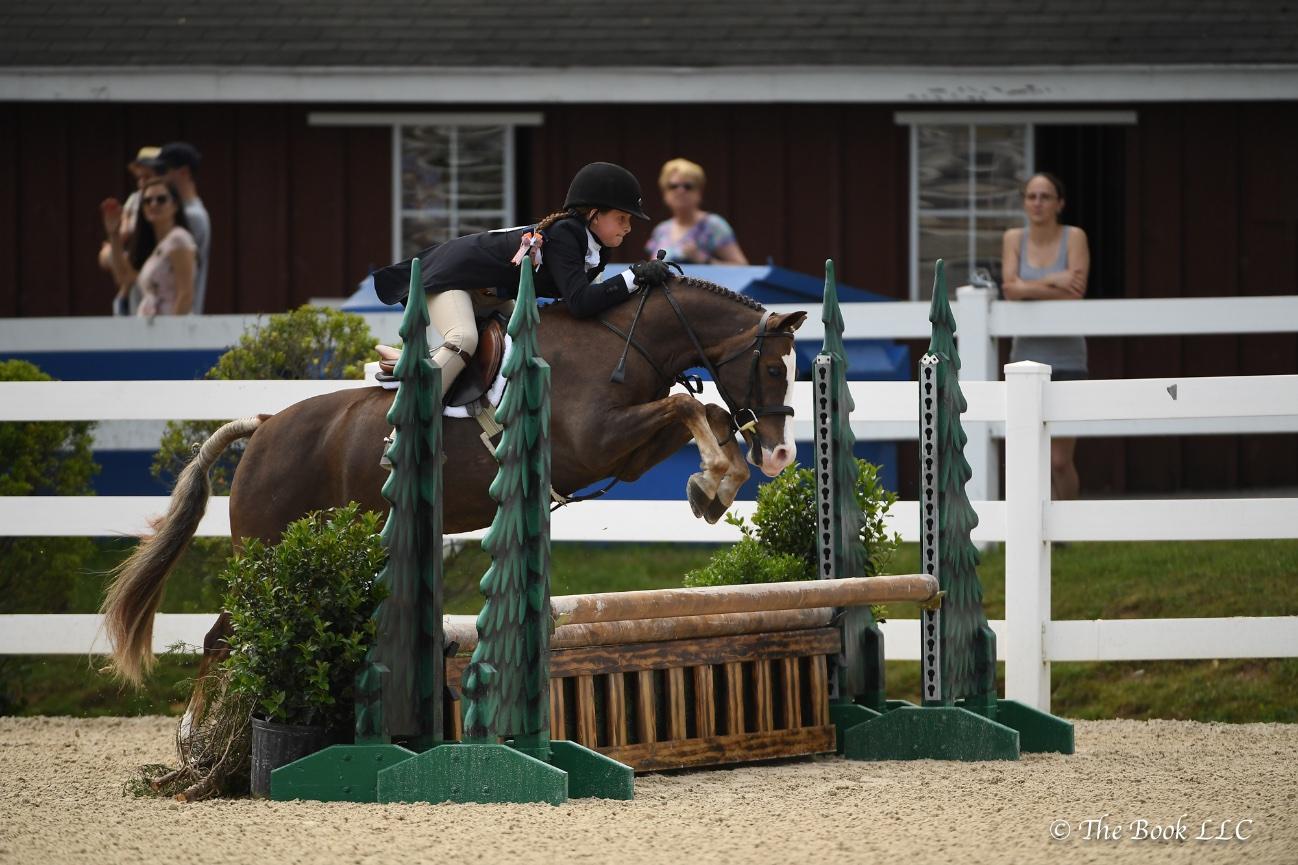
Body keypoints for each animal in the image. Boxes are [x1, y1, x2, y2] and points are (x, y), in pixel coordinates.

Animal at [101, 275, 807, 687]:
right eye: (774, 369)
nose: (780, 454)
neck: (619, 340)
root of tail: (266, 425)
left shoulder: (622, 454)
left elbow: (705, 413)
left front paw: (714, 488)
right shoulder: (595, 442)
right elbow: (689, 405)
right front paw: (718, 477)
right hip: (268, 554)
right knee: (220, 638)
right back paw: (200, 753)